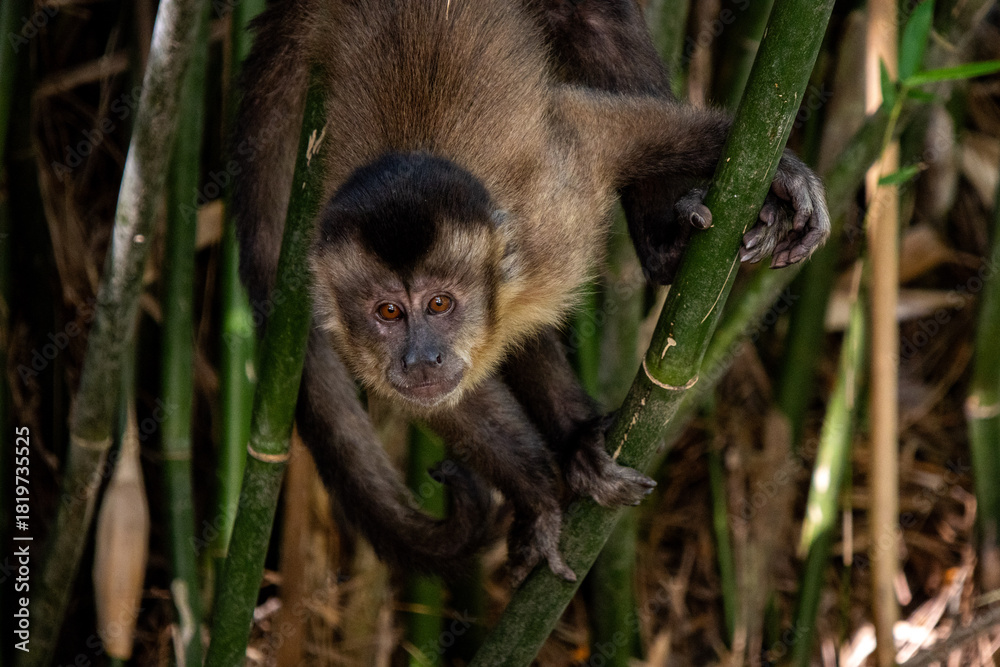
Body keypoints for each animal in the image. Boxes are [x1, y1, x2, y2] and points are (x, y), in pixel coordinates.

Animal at [233, 0, 830, 583]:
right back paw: (576, 443)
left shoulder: (554, 206)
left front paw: (785, 172)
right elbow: (450, 403)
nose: (421, 358)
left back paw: (666, 249)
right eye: (388, 312)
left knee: (593, 17)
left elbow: (610, 131)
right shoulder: (346, 325)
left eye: (439, 303)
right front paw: (540, 496)